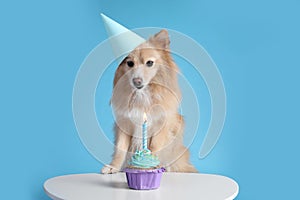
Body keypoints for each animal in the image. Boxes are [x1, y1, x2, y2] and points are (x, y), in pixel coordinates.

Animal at [102, 29, 198, 173]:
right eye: (130, 63)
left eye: (149, 63)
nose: (137, 81)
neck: (142, 94)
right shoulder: (124, 124)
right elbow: (120, 149)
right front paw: (113, 166)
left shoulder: (162, 124)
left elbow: (155, 146)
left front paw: (152, 165)